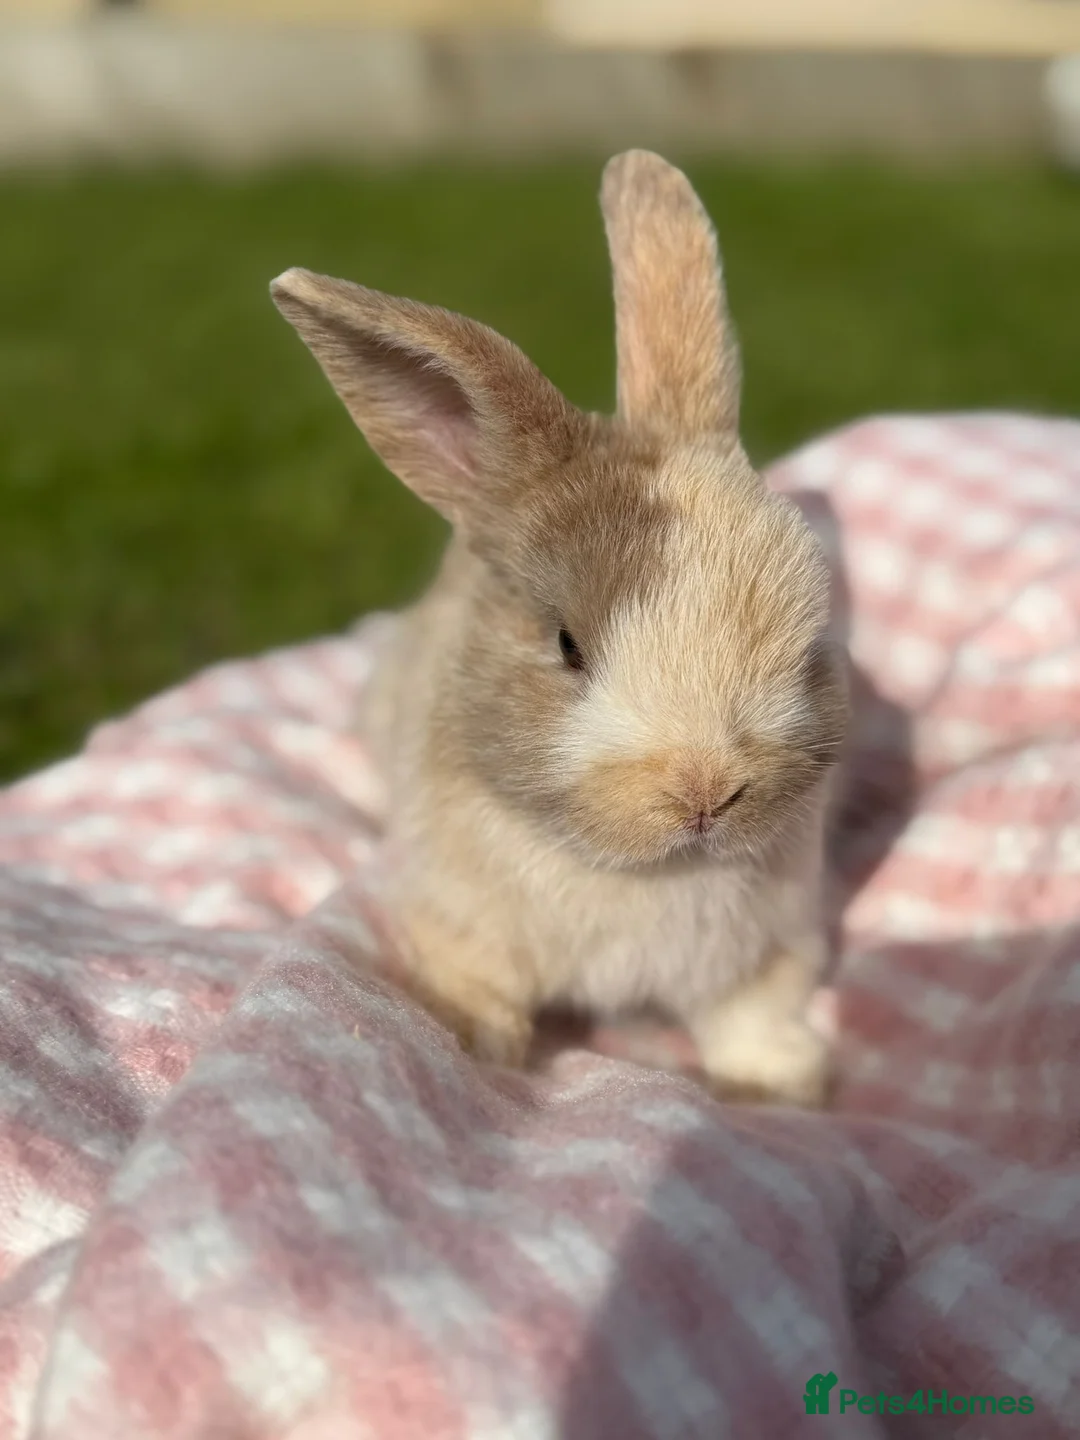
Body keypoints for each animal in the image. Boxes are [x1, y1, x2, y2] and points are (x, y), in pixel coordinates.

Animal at [271, 150, 848, 1107]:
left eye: (810, 644)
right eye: (568, 648)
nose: (706, 792)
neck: (639, 873)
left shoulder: (769, 947)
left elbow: (751, 1016)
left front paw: (780, 1086)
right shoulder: (459, 921)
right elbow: (479, 992)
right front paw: (474, 1051)